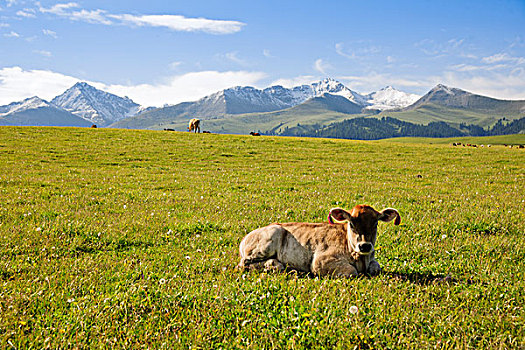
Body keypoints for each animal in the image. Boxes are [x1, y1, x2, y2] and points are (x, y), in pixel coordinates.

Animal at [238, 205, 402, 276]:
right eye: (351, 224)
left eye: (375, 224)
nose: (364, 246)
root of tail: (246, 237)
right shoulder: (320, 261)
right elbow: (352, 271)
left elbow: (376, 267)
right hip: (269, 238)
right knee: (243, 264)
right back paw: (275, 265)